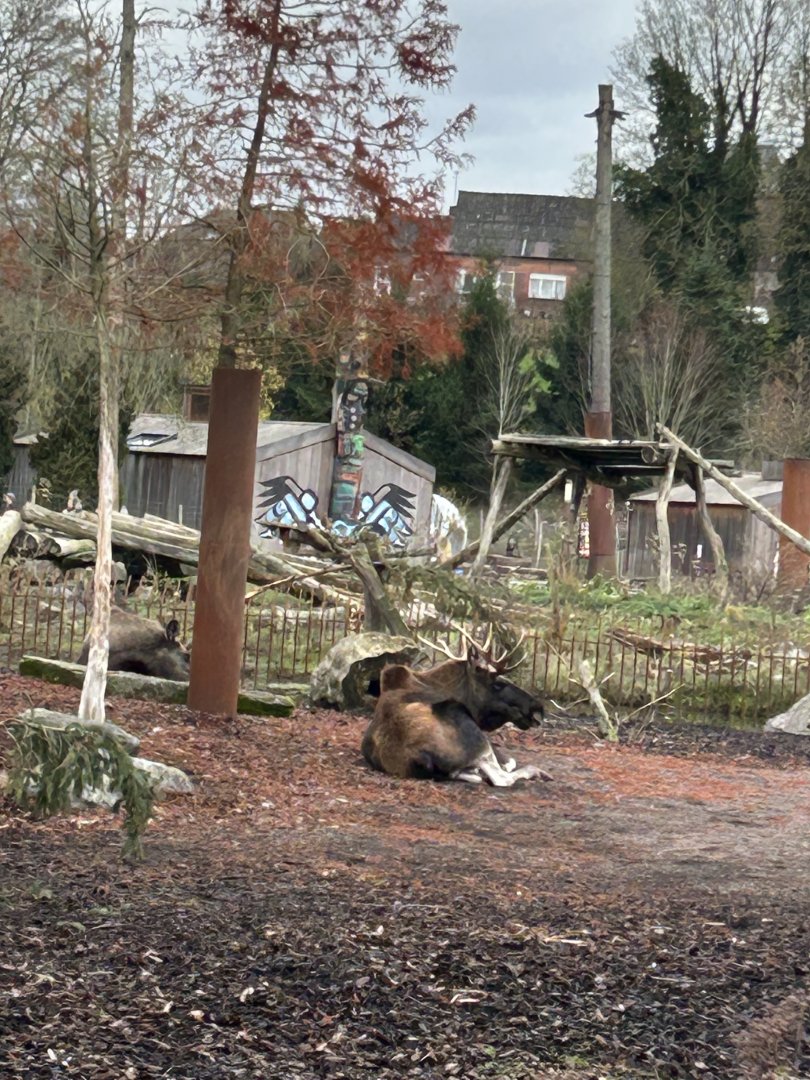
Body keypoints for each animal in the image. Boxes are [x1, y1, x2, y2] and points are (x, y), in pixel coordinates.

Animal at [361, 628, 550, 787]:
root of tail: (421, 757)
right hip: (468, 728)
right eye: (498, 684)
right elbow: (508, 761)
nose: (538, 708)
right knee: (501, 778)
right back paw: (535, 771)